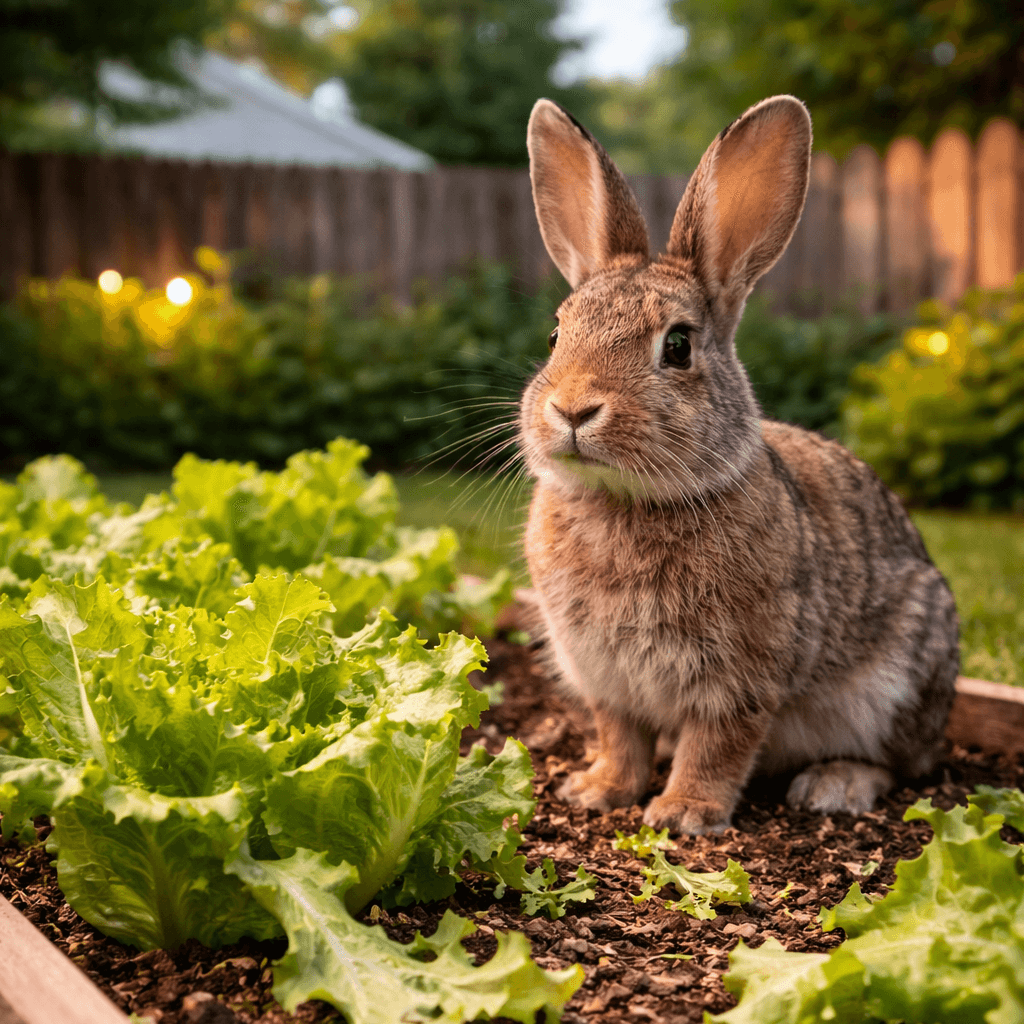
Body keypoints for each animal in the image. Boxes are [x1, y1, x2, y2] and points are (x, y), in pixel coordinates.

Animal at [518, 95, 959, 835]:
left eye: (677, 346)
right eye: (556, 334)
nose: (573, 409)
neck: (626, 500)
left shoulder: (741, 678)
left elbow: (717, 744)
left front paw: (683, 814)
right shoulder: (605, 677)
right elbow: (620, 735)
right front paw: (598, 791)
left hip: (900, 682)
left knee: (903, 763)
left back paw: (835, 785)